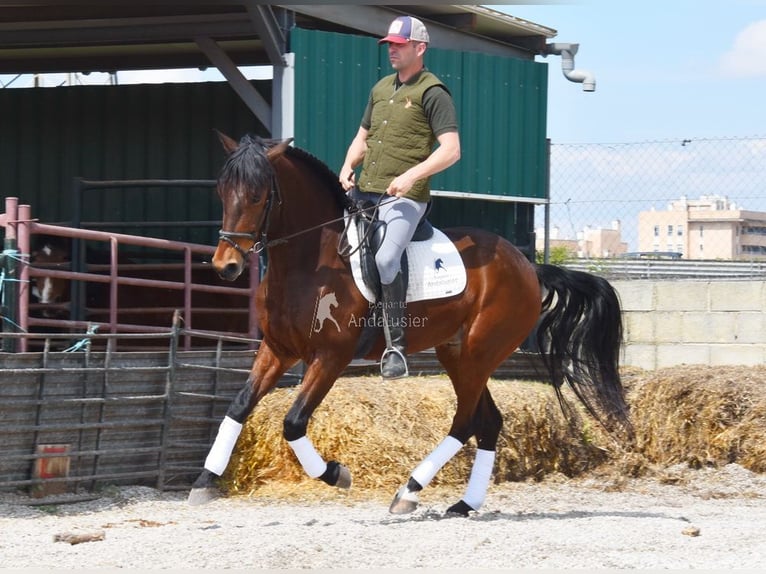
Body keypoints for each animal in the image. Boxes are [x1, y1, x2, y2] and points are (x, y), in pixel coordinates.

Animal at [187, 132, 632, 516]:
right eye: (221, 191)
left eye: (258, 196)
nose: (226, 266)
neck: (310, 263)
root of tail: (527, 266)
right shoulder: (278, 349)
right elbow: (239, 406)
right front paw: (205, 481)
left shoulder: (330, 357)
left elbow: (293, 422)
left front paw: (336, 473)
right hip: (458, 355)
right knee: (488, 422)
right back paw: (464, 503)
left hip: (478, 353)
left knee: (465, 421)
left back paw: (409, 490)